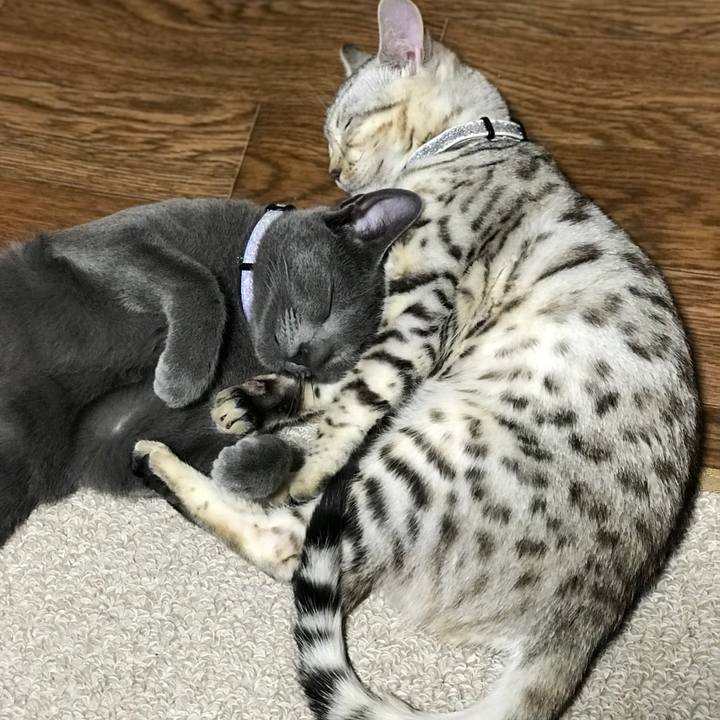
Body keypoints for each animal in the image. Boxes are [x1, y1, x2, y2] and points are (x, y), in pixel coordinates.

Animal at [0, 189, 421, 546]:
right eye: (330, 300)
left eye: (341, 355)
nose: (309, 356)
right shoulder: (115, 241)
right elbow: (198, 281)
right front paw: (182, 380)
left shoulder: (111, 436)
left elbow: (272, 458)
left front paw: (240, 465)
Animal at [135, 0, 700, 718]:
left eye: (346, 125)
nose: (334, 173)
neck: (474, 144)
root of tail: (586, 620)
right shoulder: (392, 322)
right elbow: (334, 377)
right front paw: (261, 399)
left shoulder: (419, 313)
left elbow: (355, 393)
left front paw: (303, 451)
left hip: (417, 454)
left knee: (294, 546)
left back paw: (182, 462)